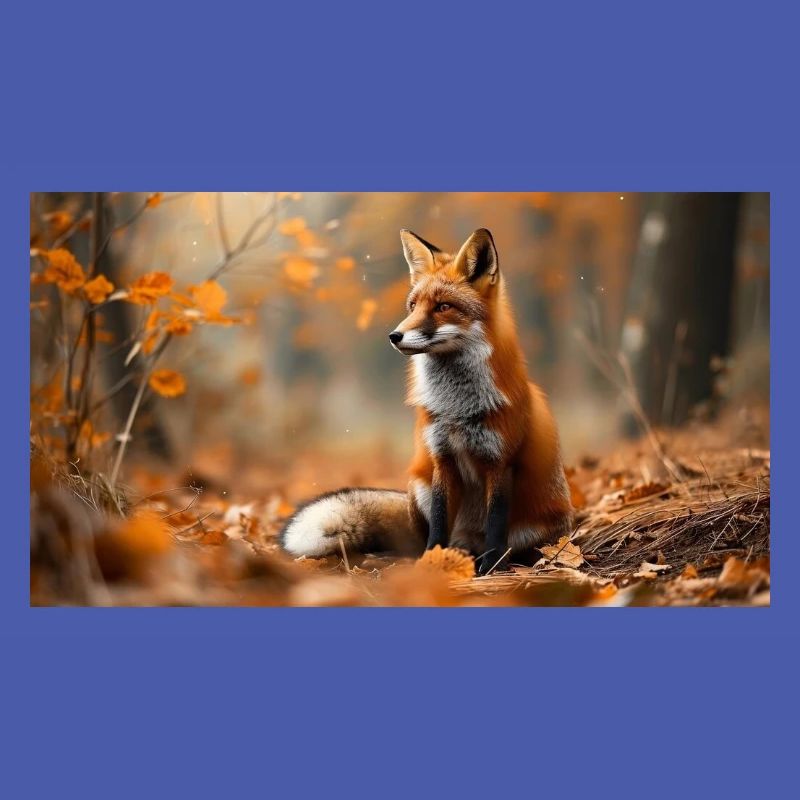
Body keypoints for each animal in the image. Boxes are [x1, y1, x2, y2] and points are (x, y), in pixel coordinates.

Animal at [280, 227, 573, 575]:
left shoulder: (500, 462)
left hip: (534, 529)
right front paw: (431, 562)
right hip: (418, 485)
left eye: (443, 306)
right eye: (412, 306)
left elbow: (495, 525)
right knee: (421, 539)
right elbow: (438, 522)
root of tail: (468, 540)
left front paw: (490, 568)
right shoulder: (441, 458)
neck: (457, 409)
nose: (394, 336)